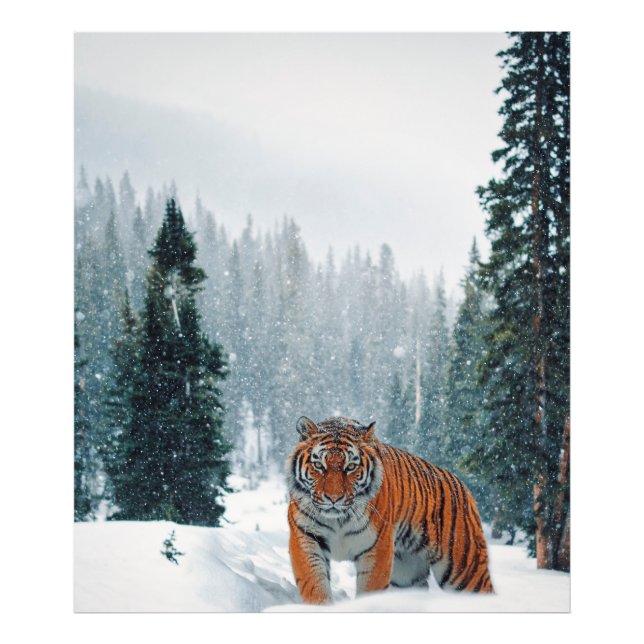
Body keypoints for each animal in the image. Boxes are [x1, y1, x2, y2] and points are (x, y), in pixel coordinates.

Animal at [286, 416, 494, 604]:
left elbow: (370, 589)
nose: (334, 498)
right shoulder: (306, 538)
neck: (338, 519)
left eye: (351, 467)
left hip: (465, 569)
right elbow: (314, 584)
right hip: (407, 573)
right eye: (318, 465)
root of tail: (462, 485)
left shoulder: (377, 548)